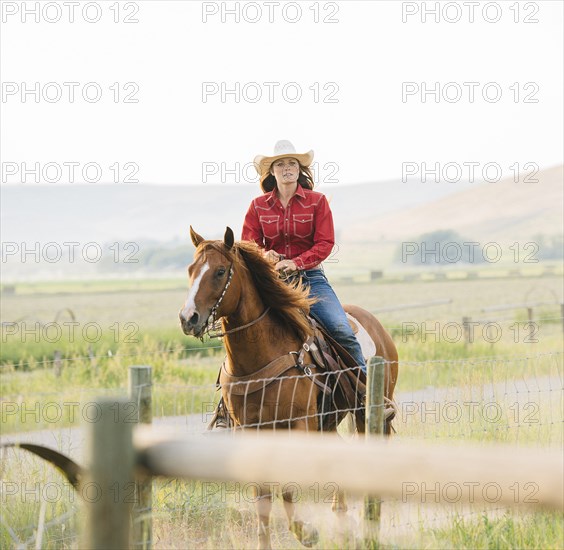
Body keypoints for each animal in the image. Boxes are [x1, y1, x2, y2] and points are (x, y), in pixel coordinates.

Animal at [178, 226, 398, 548]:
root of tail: (378, 326)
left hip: (365, 413)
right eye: (191, 269)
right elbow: (263, 498)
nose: (188, 318)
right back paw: (341, 515)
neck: (259, 359)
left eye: (219, 272)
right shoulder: (251, 431)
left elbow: (287, 485)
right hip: (326, 424)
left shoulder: (298, 425)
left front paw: (307, 532)